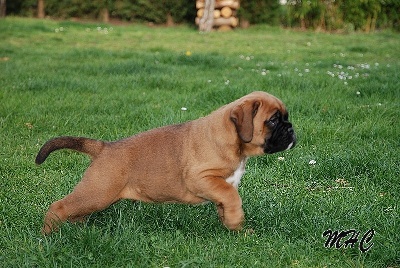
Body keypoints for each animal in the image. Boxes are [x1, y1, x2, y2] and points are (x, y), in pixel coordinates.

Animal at [36, 91, 296, 233]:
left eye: (285, 118)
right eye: (273, 120)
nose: (292, 129)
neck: (234, 140)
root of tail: (104, 147)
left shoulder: (220, 186)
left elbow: (227, 202)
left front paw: (236, 229)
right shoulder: (201, 178)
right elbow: (232, 196)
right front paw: (236, 222)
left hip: (96, 197)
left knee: (74, 212)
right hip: (98, 192)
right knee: (59, 207)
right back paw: (47, 237)